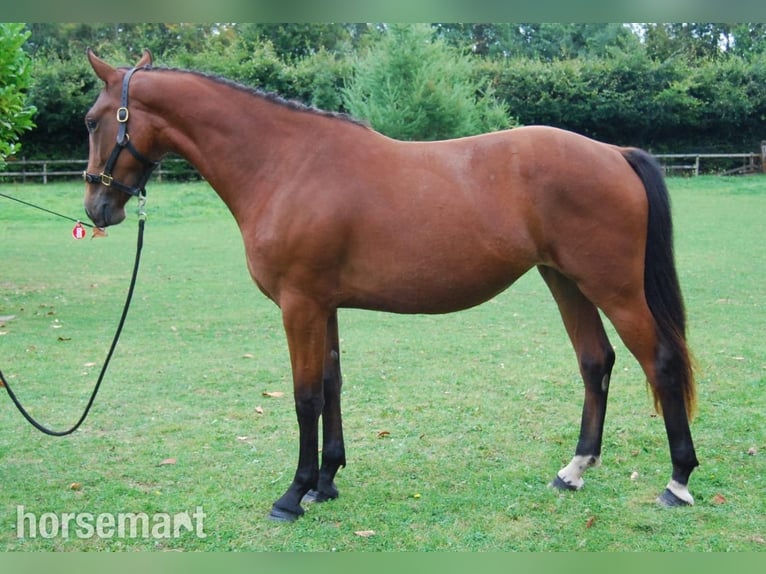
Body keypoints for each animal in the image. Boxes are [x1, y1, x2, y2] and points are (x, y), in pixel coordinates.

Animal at [83, 49, 698, 521]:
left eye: (92, 120)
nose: (97, 207)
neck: (287, 164)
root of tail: (613, 153)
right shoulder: (323, 305)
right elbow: (331, 384)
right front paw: (326, 481)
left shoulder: (299, 305)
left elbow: (305, 396)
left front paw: (293, 494)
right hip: (565, 281)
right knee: (596, 362)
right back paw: (574, 470)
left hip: (613, 287)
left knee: (661, 361)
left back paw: (678, 480)